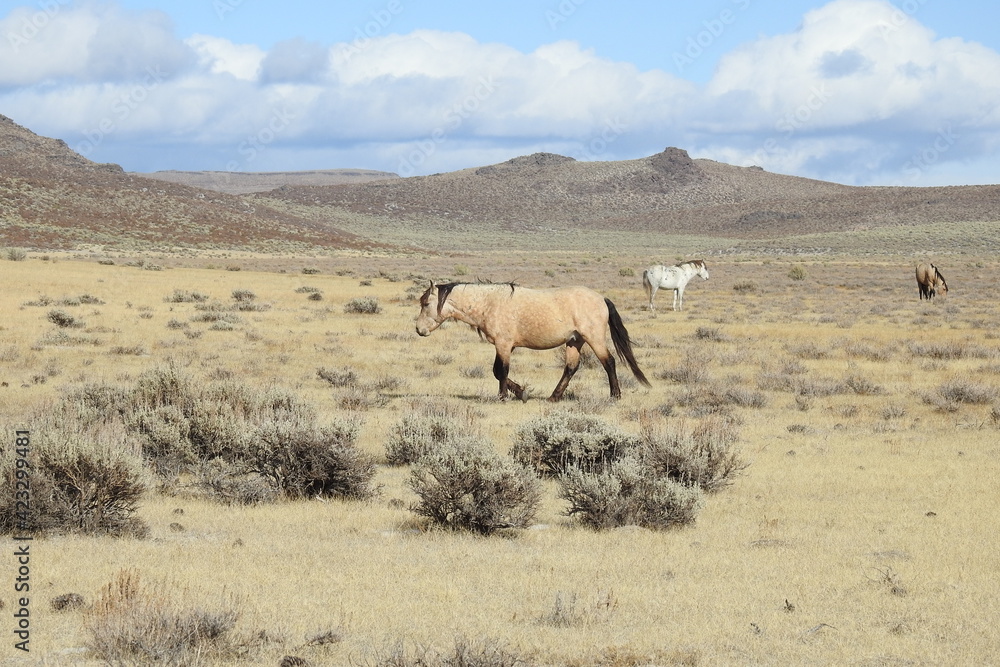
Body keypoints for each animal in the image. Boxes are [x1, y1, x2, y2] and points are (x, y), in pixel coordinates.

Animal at [412, 282, 648, 402]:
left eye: (426, 303)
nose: (419, 330)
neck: (489, 303)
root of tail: (601, 298)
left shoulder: (504, 344)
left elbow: (501, 371)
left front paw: (504, 396)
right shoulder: (503, 346)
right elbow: (497, 372)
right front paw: (520, 392)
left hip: (594, 338)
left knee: (609, 362)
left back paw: (615, 395)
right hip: (574, 341)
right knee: (571, 367)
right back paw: (554, 397)